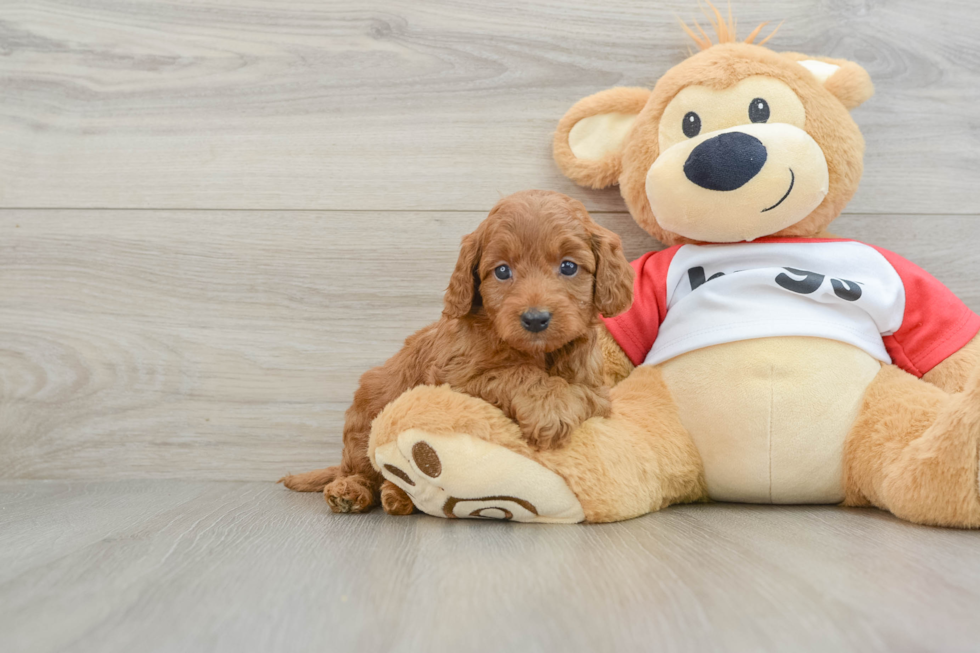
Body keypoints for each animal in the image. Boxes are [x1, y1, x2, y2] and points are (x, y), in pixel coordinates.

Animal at [282, 188, 636, 516]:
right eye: (502, 271)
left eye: (568, 267)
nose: (535, 319)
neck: (539, 353)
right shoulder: (455, 377)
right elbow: (514, 373)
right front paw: (548, 409)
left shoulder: (596, 390)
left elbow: (580, 395)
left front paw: (556, 405)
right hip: (365, 418)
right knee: (362, 468)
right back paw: (352, 490)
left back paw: (397, 497)